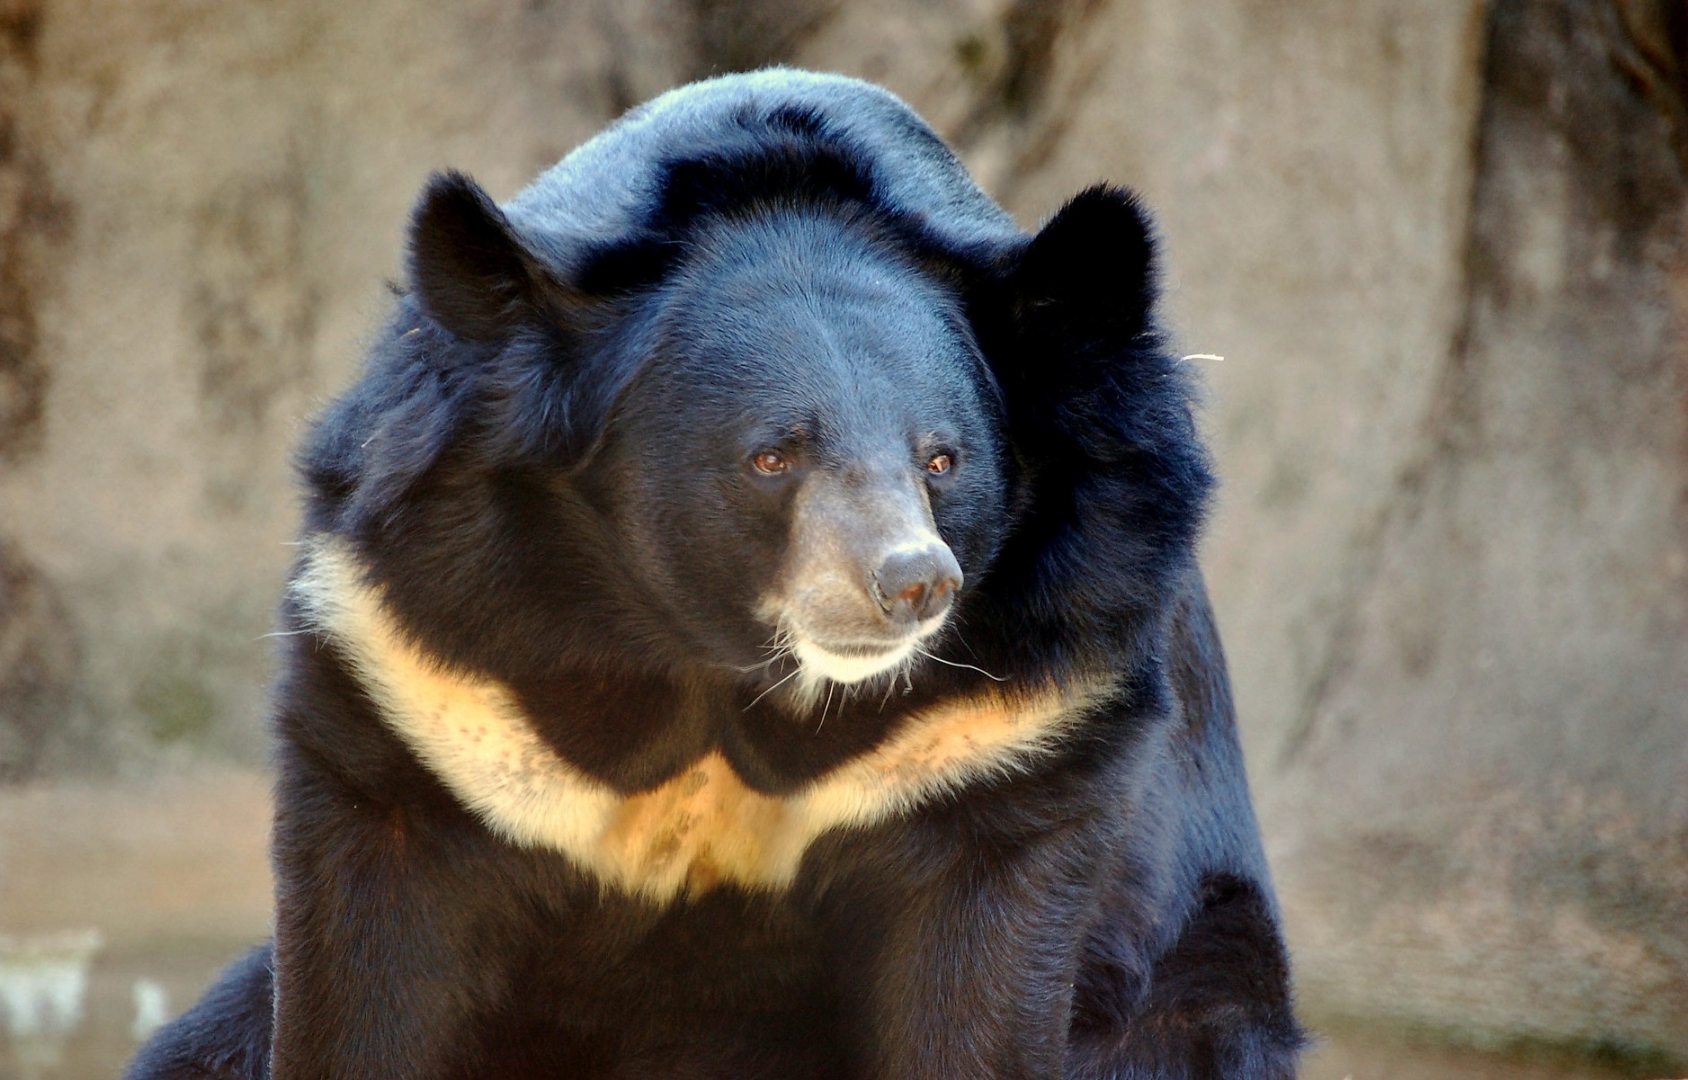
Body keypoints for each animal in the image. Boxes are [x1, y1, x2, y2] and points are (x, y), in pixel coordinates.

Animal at [128, 69, 1303, 1080]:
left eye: (942, 458)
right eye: (771, 457)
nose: (910, 582)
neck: (711, 659)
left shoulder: (1012, 717)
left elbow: (977, 983)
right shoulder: (425, 663)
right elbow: (369, 957)